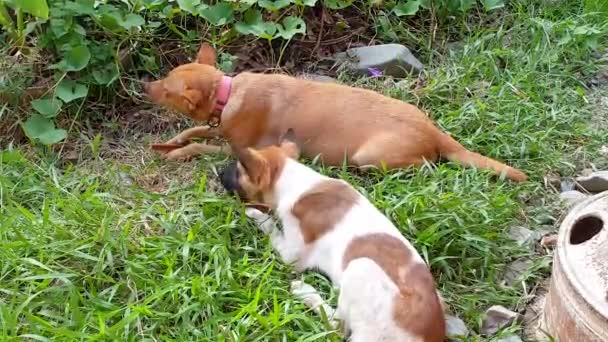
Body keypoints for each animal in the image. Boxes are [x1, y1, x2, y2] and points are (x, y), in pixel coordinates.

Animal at [142, 44, 528, 183]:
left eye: (167, 91)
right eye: (165, 77)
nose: (145, 85)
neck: (228, 93)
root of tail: (433, 131)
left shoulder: (240, 147)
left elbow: (199, 145)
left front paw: (176, 152)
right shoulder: (220, 128)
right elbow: (195, 132)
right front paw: (174, 139)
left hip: (371, 157)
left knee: (429, 165)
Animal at [221, 130, 444, 340]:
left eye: (238, 170)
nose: (219, 172)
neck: (296, 181)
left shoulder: (291, 255)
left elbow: (271, 228)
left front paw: (255, 214)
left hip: (360, 267)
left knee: (337, 326)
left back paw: (305, 292)